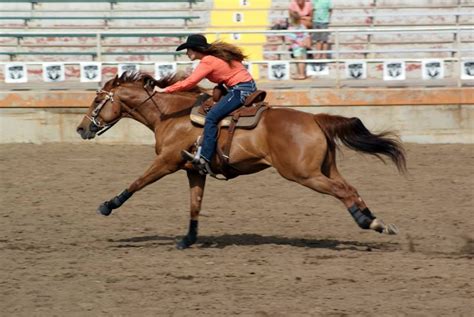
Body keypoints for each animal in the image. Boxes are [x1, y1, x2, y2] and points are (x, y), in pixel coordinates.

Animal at [76, 70, 406, 248]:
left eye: (97, 100)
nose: (81, 128)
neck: (171, 115)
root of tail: (315, 119)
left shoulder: (167, 162)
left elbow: (137, 182)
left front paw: (107, 205)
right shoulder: (194, 171)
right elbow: (195, 205)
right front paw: (188, 239)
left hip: (303, 174)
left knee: (344, 191)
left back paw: (369, 222)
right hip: (324, 168)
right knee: (351, 188)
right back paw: (377, 221)